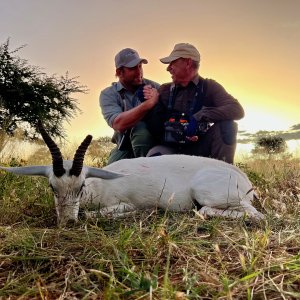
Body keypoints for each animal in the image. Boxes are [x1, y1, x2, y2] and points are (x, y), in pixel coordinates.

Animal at [0, 122, 264, 225]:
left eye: (81, 186)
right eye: (52, 187)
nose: (68, 222)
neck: (98, 185)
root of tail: (243, 178)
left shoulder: (123, 204)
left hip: (209, 194)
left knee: (256, 215)